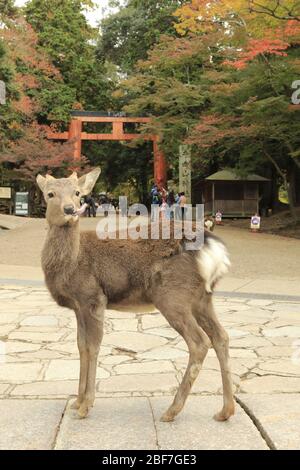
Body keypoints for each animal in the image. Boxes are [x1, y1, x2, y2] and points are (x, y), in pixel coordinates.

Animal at [37, 168, 234, 422]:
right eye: (50, 193)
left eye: (77, 193)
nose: (70, 209)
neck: (71, 263)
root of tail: (214, 249)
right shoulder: (78, 306)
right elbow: (81, 346)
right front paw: (77, 401)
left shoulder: (93, 297)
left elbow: (93, 346)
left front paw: (85, 406)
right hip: (202, 298)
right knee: (221, 336)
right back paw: (225, 411)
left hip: (172, 296)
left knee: (200, 342)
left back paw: (172, 410)